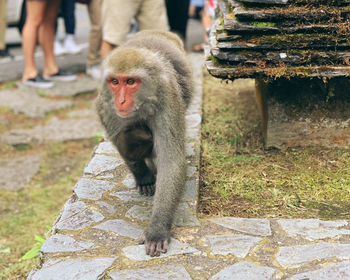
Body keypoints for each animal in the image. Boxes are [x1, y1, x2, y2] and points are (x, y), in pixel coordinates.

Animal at [95, 30, 194, 256]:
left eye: (131, 82)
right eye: (115, 82)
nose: (121, 101)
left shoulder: (167, 101)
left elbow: (171, 162)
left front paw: (157, 228)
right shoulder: (107, 107)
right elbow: (123, 147)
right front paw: (143, 177)